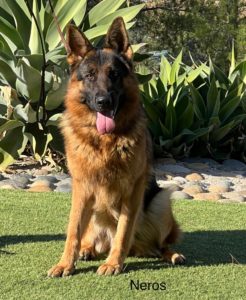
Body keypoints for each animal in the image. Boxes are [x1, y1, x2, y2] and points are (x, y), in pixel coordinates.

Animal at [47, 17, 184, 278]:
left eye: (114, 75)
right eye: (90, 75)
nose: (104, 102)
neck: (104, 142)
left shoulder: (133, 190)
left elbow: (123, 231)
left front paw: (113, 264)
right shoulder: (82, 188)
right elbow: (73, 231)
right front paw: (65, 264)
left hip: (161, 201)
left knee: (159, 244)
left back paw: (170, 254)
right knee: (89, 238)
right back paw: (88, 250)